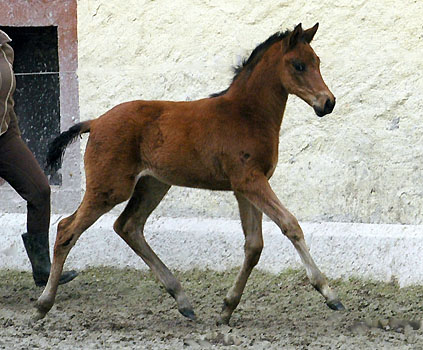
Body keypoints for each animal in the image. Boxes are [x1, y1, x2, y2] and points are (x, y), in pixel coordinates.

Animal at [34, 23, 344, 326]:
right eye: (298, 65)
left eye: (317, 61)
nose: (327, 102)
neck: (246, 114)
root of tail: (96, 122)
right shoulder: (249, 181)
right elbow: (290, 225)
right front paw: (329, 294)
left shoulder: (247, 186)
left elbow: (254, 245)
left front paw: (227, 309)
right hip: (110, 188)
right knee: (67, 230)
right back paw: (43, 304)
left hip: (153, 184)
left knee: (128, 226)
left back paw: (182, 300)